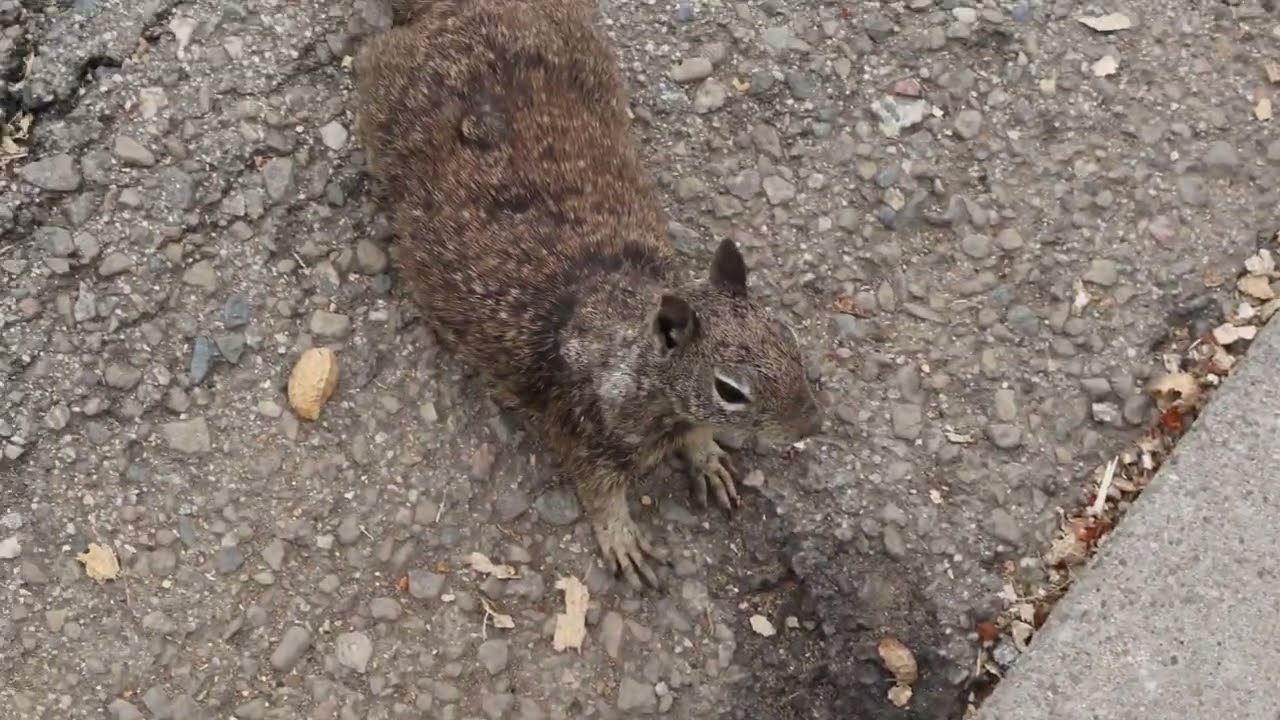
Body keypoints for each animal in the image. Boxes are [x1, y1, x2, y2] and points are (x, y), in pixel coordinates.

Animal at [352, 0, 823, 589]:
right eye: (730, 390)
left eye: (792, 342)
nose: (812, 424)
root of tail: (453, 11)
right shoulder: (583, 435)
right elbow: (599, 493)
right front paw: (621, 537)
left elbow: (696, 438)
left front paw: (707, 456)